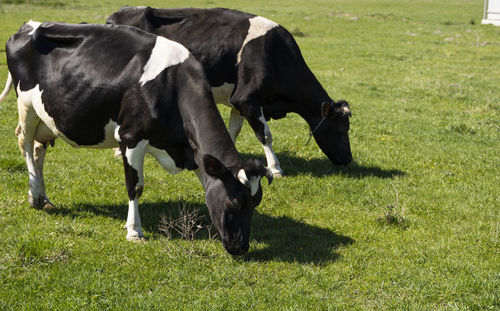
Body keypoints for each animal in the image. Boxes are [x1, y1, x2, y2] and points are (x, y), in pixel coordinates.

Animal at [0, 21, 274, 256]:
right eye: (235, 202)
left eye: (256, 202)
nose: (241, 247)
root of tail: (29, 25)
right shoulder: (131, 137)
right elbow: (136, 186)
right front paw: (134, 231)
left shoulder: (192, 151)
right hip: (26, 106)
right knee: (25, 144)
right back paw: (35, 191)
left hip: (47, 117)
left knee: (39, 149)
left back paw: (41, 197)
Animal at [107, 6, 354, 178]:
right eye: (341, 130)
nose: (349, 159)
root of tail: (119, 14)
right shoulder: (246, 99)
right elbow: (265, 135)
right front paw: (275, 168)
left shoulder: (238, 103)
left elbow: (233, 131)